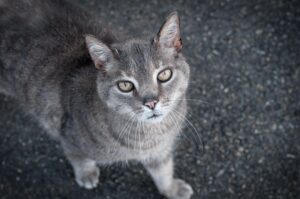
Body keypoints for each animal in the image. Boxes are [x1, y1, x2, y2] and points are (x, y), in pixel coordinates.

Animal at [0, 0, 192, 198]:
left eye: (164, 75)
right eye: (125, 85)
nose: (151, 102)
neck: (152, 134)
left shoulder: (160, 151)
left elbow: (163, 171)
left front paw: (171, 189)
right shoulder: (69, 139)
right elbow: (79, 159)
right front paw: (86, 174)